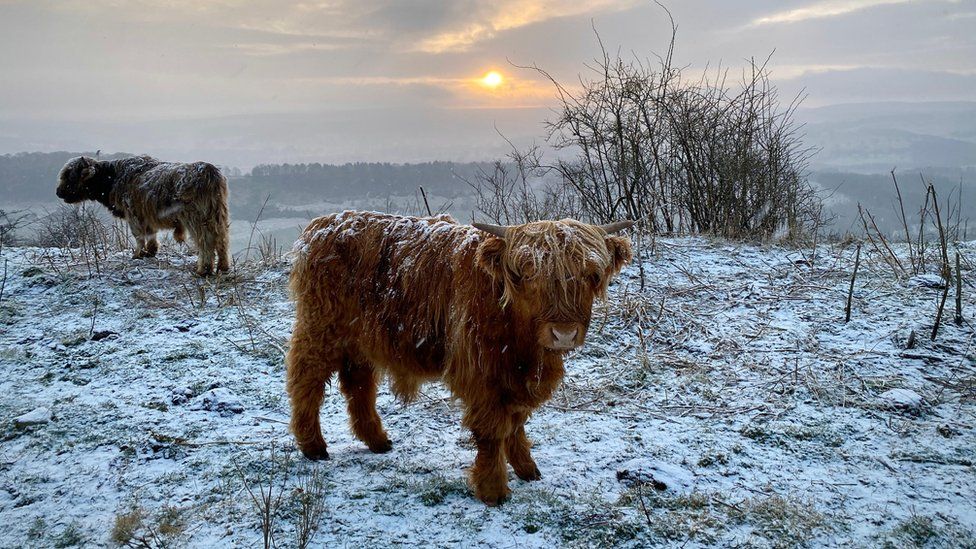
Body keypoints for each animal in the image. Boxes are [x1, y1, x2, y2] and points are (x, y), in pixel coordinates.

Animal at [56, 155, 231, 276]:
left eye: (69, 175)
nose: (58, 192)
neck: (112, 178)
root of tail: (209, 171)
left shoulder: (132, 213)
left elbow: (139, 235)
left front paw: (137, 254)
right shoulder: (145, 215)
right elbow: (150, 233)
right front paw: (150, 251)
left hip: (196, 218)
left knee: (205, 241)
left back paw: (204, 270)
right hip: (218, 215)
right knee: (222, 238)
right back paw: (223, 267)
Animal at [284, 211, 632, 506]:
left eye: (592, 275)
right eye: (526, 275)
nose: (564, 333)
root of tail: (320, 225)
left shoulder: (516, 377)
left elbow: (516, 421)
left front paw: (527, 468)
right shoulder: (482, 373)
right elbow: (492, 430)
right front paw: (493, 489)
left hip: (360, 338)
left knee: (358, 384)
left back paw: (377, 440)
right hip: (321, 329)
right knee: (307, 379)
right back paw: (313, 445)